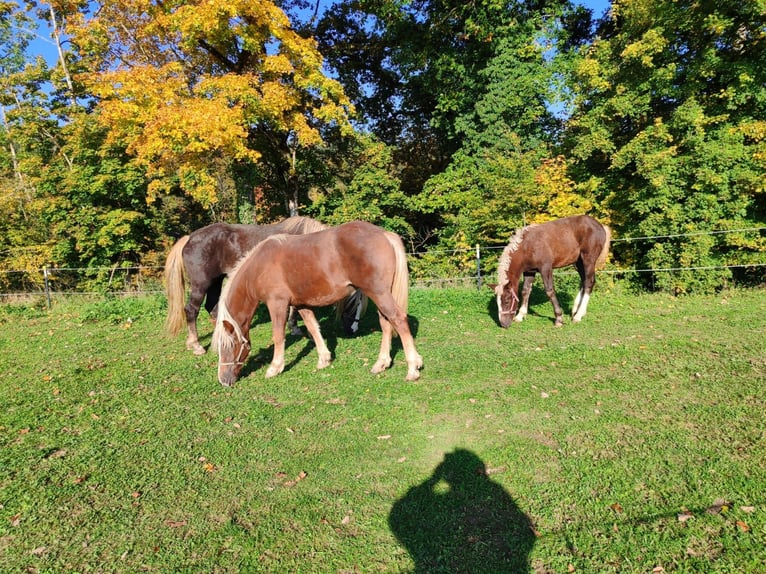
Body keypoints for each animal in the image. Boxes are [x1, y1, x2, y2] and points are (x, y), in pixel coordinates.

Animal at [164, 217, 366, 355]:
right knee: (191, 310)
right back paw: (196, 345)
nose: (353, 330)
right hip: (201, 284)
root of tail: (190, 238)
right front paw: (295, 328)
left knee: (212, 308)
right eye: (354, 304)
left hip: (216, 282)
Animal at [212, 220, 423, 386]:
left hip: (379, 293)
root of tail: (385, 235)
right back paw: (381, 363)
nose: (223, 380)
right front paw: (324, 359)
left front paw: (274, 368)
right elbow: (313, 328)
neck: (260, 266)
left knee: (398, 319)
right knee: (386, 323)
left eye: (228, 346)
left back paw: (413, 368)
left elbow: (278, 335)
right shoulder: (301, 304)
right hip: (379, 295)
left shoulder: (277, 304)